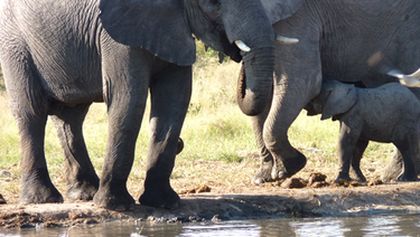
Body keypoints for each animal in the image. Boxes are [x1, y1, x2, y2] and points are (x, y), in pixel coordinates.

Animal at [0, 0, 286, 210]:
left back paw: (84, 194)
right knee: (32, 112)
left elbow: (175, 101)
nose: (236, 53)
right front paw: (114, 206)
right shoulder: (118, 35)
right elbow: (129, 99)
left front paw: (163, 203)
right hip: (14, 42)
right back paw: (43, 199)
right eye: (214, 3)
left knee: (71, 117)